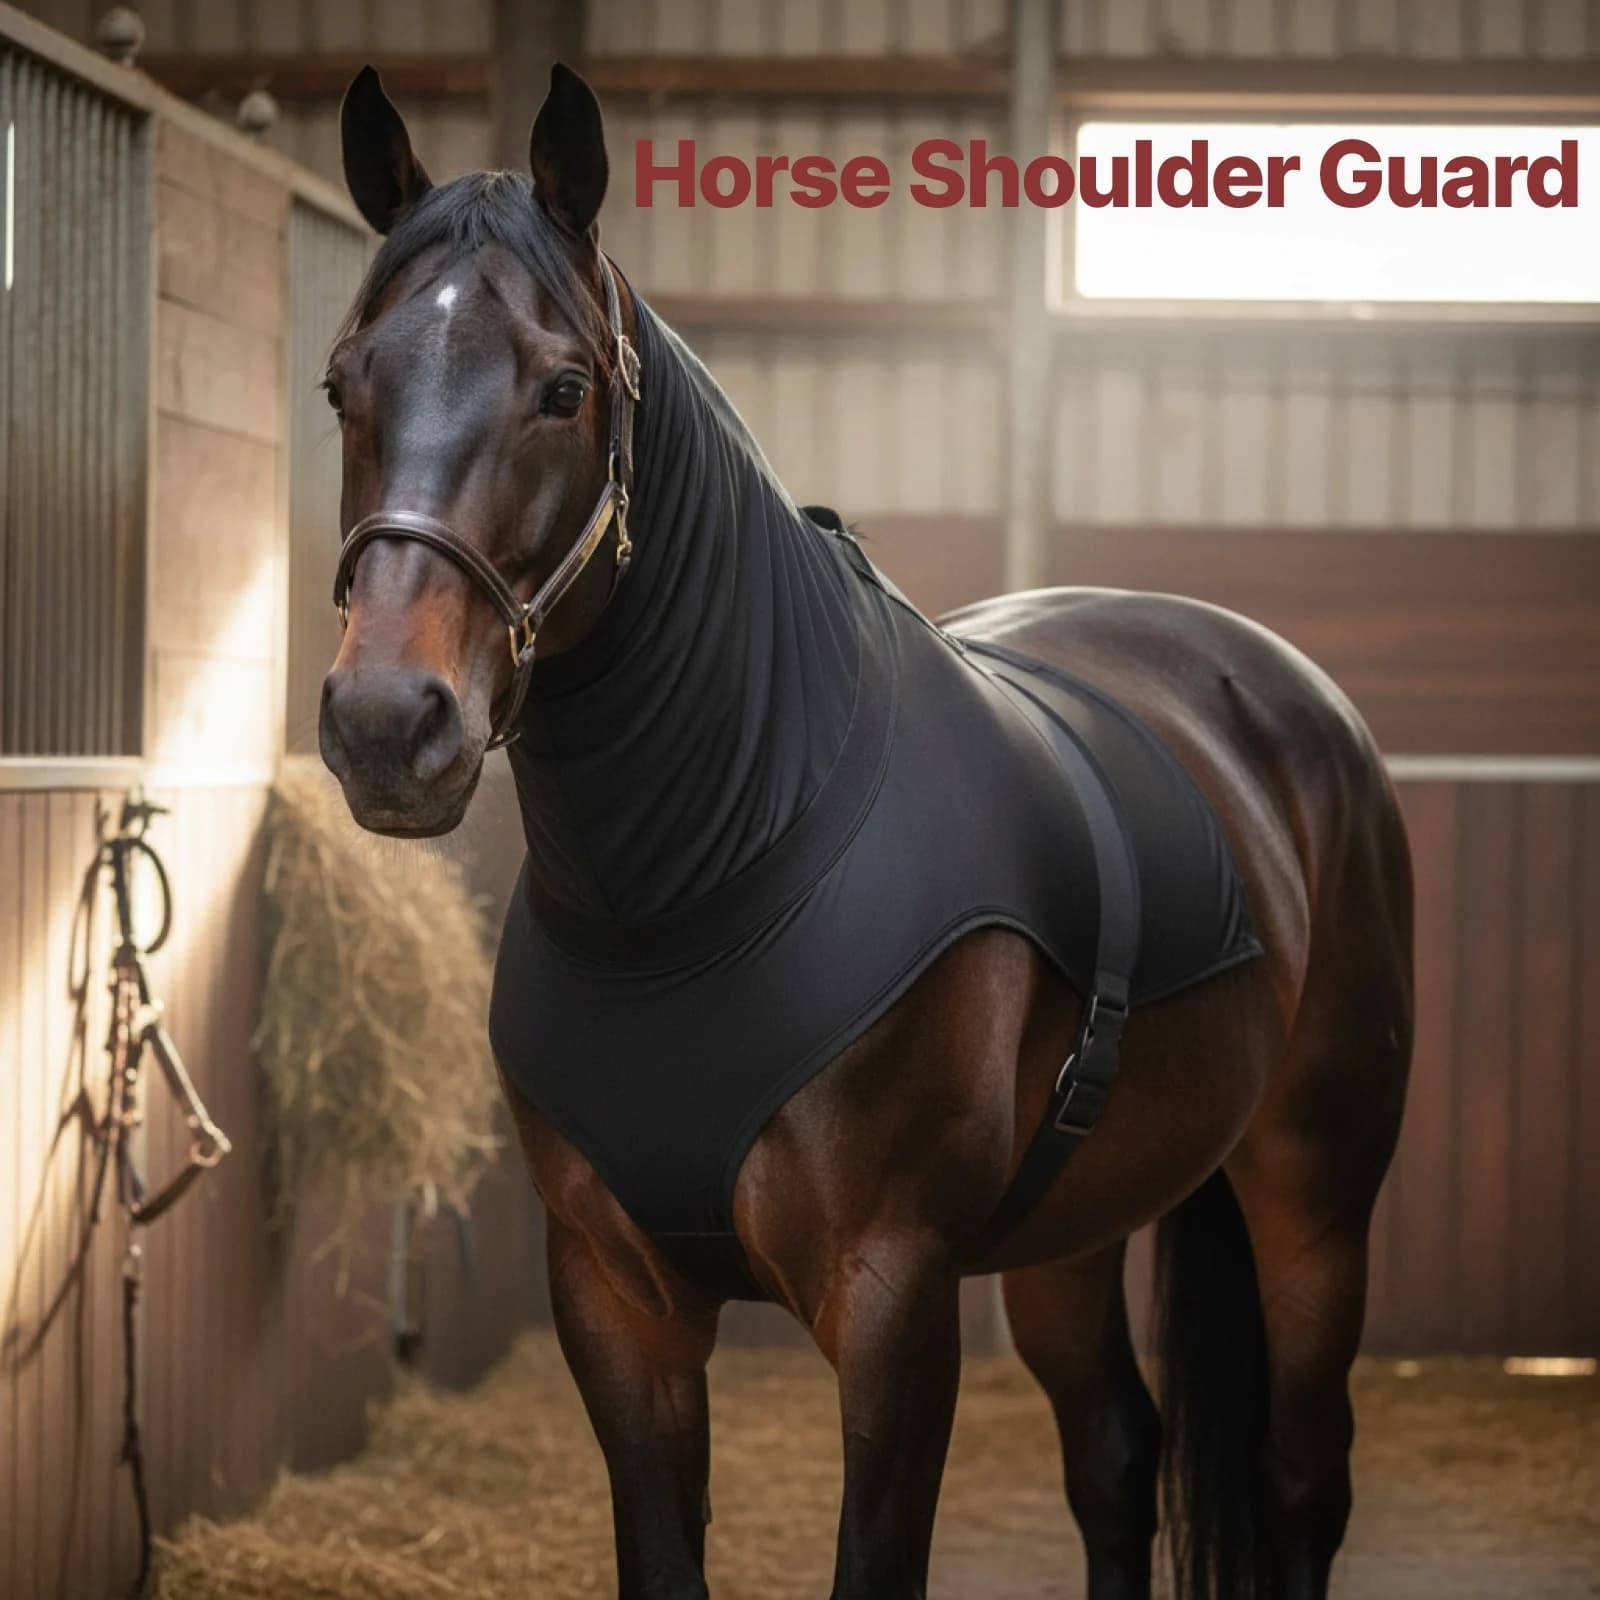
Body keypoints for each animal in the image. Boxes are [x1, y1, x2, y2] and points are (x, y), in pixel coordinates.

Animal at [317, 63, 1412, 1600]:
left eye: (562, 390)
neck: (693, 894)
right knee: (1117, 1459)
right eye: (342, 385)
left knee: (1303, 1481)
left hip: (1314, 1194)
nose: (384, 722)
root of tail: (1289, 696)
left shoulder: (892, 1301)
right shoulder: (612, 1298)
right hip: (1067, 1238)